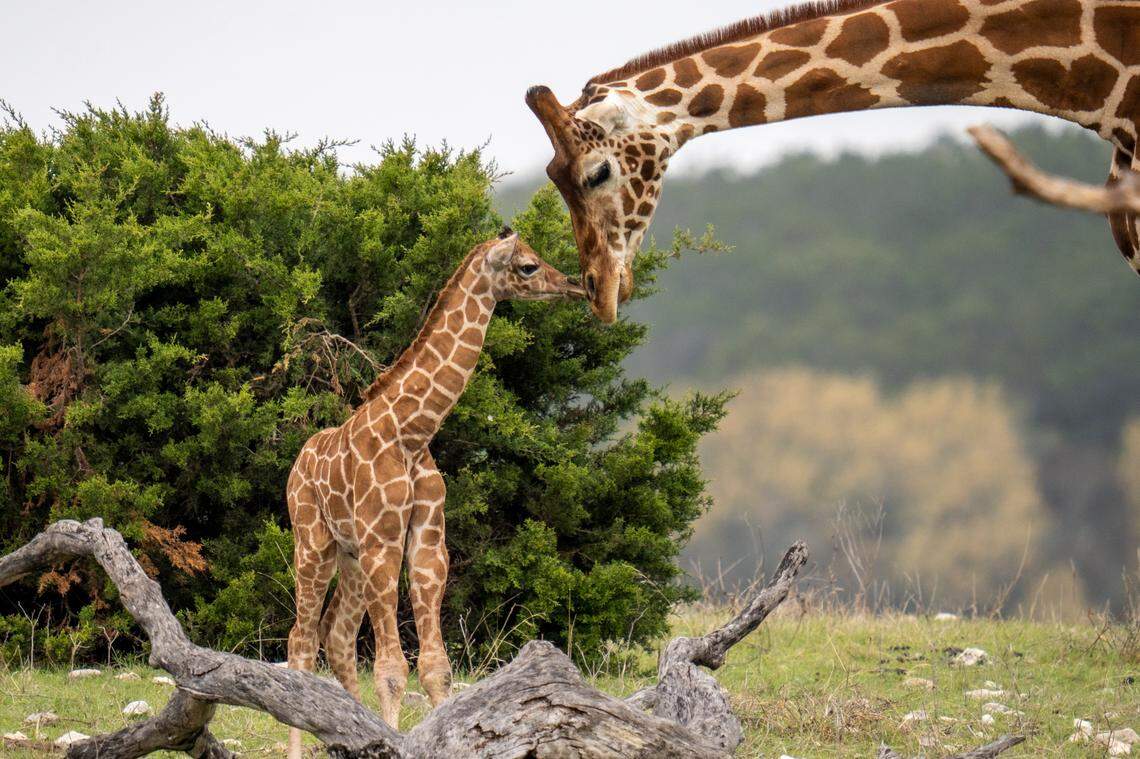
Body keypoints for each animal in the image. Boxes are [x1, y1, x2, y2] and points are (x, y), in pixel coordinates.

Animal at [285, 230, 583, 756]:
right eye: (528, 266)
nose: (571, 284)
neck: (412, 432)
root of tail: (296, 465)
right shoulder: (383, 542)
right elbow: (390, 669)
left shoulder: (427, 543)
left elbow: (436, 669)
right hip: (313, 544)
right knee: (299, 643)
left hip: (350, 556)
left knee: (335, 636)